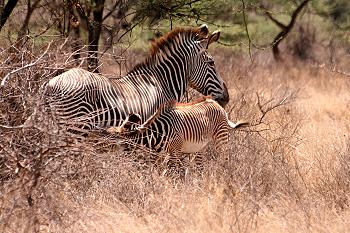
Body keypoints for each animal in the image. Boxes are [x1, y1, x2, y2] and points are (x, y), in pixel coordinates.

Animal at [105, 95, 247, 156]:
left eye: (108, 141)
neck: (157, 133)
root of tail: (215, 102)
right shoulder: (160, 155)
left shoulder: (176, 150)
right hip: (201, 146)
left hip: (221, 138)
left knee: (224, 157)